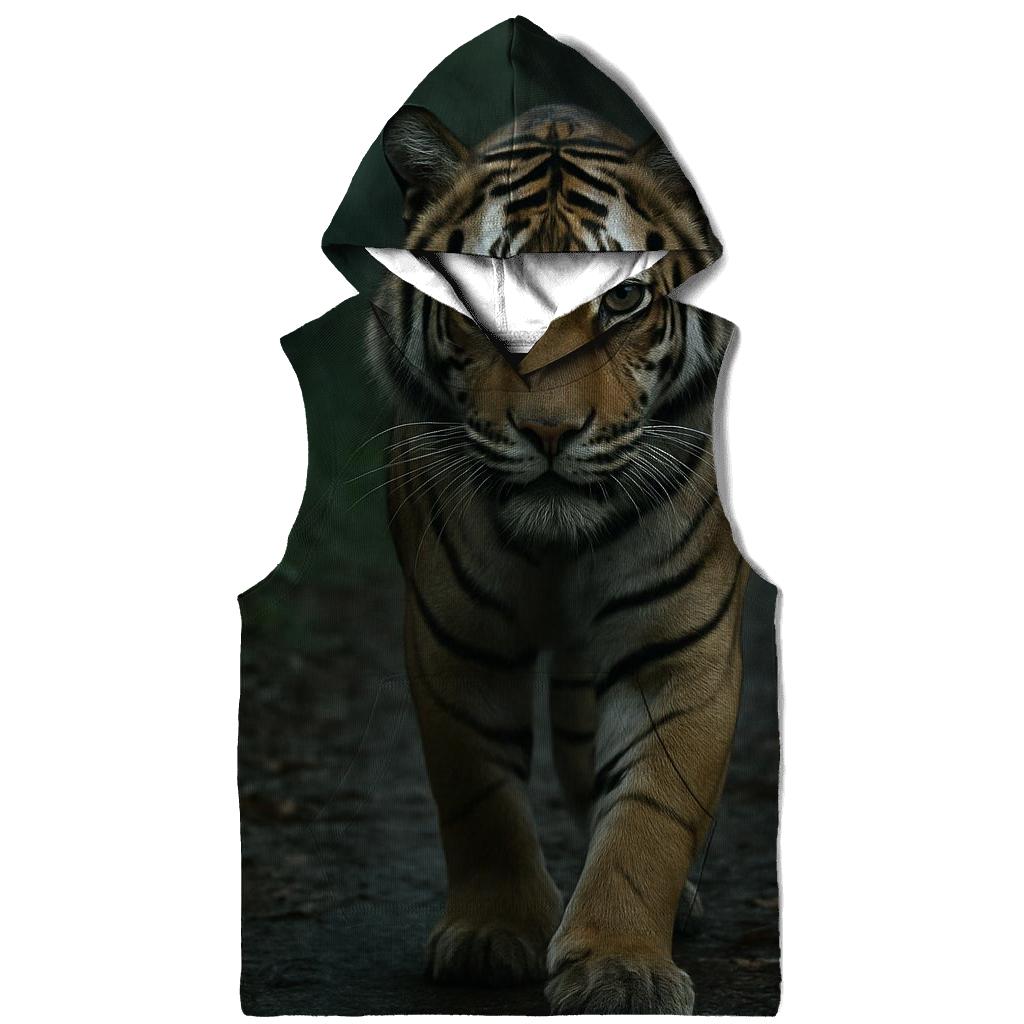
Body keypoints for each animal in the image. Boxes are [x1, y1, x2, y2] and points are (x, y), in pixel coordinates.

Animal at [365, 103, 749, 1015]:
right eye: (484, 297)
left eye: (623, 299)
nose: (548, 430)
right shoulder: (452, 641)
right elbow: (479, 794)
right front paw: (493, 933)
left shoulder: (681, 652)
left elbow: (651, 812)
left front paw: (620, 967)